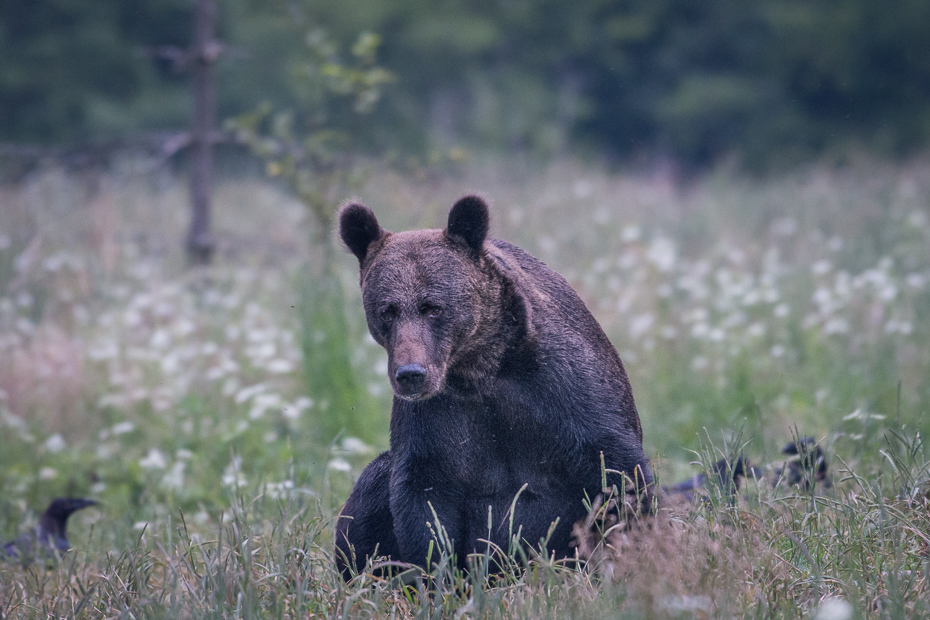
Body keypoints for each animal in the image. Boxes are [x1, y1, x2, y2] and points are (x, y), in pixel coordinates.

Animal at [336, 196, 652, 580]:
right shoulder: (435, 421)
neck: (481, 369)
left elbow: (618, 473)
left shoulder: (563, 393)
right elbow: (424, 502)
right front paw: (436, 577)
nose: (411, 373)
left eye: (433, 307)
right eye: (388, 310)